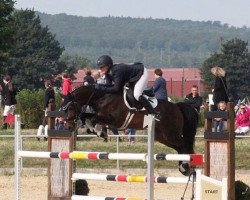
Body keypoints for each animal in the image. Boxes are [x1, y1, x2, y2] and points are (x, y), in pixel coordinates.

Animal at [64, 85, 199, 176]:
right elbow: (85, 116)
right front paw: (96, 131)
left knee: (183, 145)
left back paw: (187, 166)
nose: (68, 127)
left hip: (170, 133)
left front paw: (98, 131)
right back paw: (184, 167)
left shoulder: (115, 120)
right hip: (162, 137)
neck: (102, 97)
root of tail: (177, 106)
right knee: (180, 147)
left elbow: (92, 118)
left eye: (70, 107)